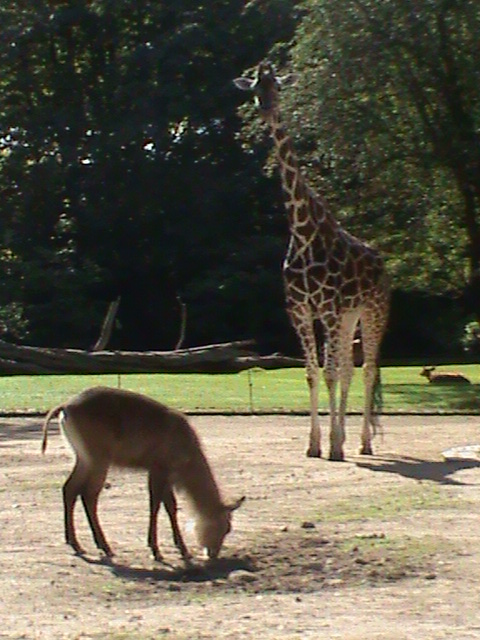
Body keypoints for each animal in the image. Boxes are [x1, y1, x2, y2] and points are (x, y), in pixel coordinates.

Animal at [235, 61, 390, 461]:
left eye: (277, 86)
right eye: (254, 87)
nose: (265, 108)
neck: (303, 232)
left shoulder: (329, 310)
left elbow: (331, 373)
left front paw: (333, 446)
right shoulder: (301, 311)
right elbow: (314, 373)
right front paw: (317, 444)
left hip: (373, 311)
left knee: (368, 369)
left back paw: (364, 443)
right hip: (350, 317)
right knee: (349, 369)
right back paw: (349, 439)